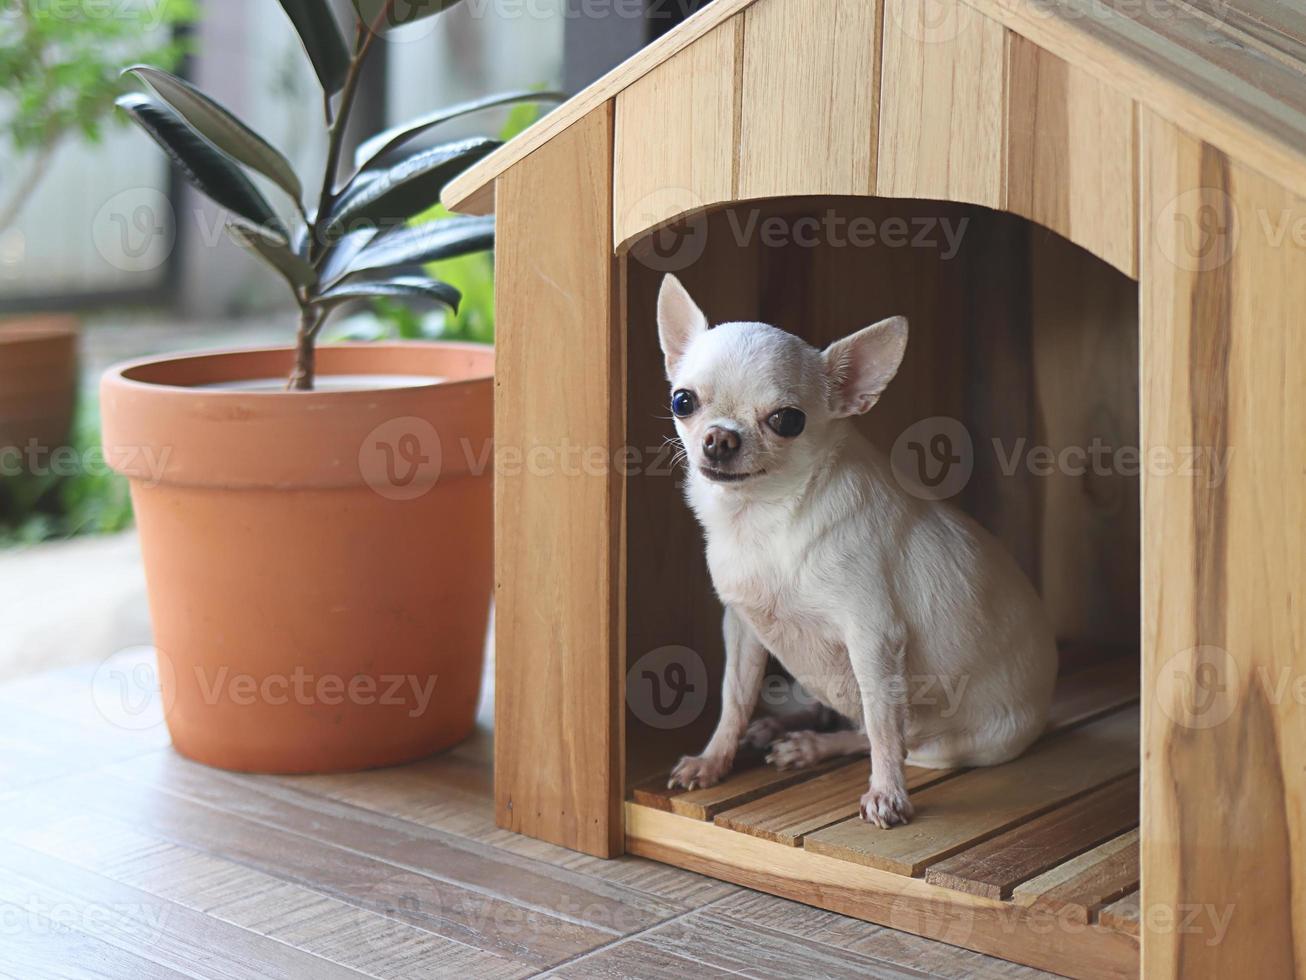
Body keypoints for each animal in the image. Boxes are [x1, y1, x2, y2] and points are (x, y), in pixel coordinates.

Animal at [658, 274, 1055, 831]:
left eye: (787, 420)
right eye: (683, 401)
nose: (719, 438)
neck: (765, 518)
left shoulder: (873, 641)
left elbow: (884, 728)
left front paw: (887, 794)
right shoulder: (744, 626)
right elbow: (734, 699)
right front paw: (715, 759)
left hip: (957, 745)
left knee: (881, 736)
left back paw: (813, 745)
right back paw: (784, 725)